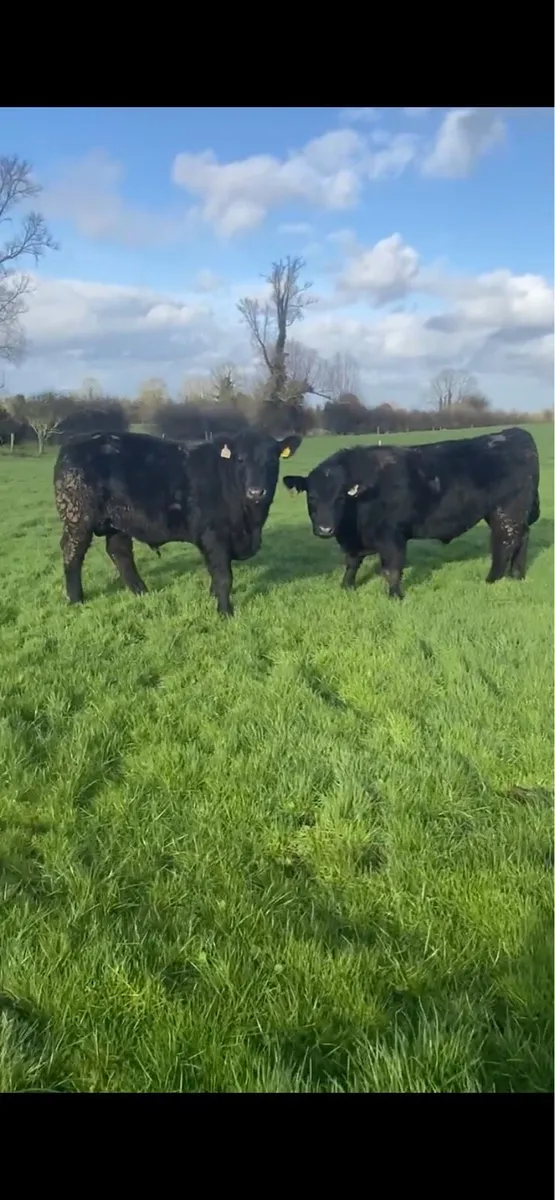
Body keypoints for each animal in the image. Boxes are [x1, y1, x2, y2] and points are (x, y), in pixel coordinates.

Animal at [54, 428, 301, 616]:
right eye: (240, 459)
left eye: (272, 460)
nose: (256, 492)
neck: (250, 523)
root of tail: (72, 444)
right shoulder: (214, 535)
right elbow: (223, 576)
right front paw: (225, 612)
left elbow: (214, 573)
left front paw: (213, 597)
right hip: (77, 519)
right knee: (72, 553)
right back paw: (76, 599)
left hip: (118, 520)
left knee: (120, 552)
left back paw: (141, 592)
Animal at [283, 427, 540, 599]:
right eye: (312, 498)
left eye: (340, 498)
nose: (325, 529)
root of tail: (513, 433)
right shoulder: (354, 541)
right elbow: (352, 563)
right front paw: (346, 587)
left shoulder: (392, 536)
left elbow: (392, 569)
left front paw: (395, 596)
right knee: (522, 537)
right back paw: (517, 575)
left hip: (506, 511)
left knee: (505, 542)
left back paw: (491, 580)